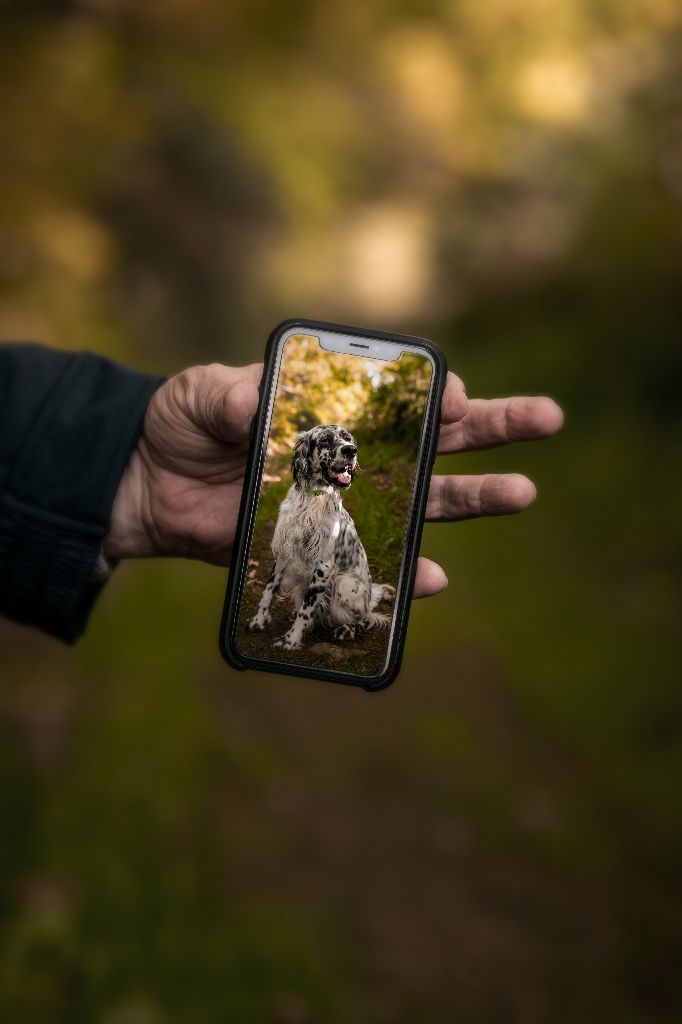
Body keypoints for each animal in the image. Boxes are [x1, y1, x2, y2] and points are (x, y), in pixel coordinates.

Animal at [245, 421, 393, 647]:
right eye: (325, 440)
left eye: (347, 438)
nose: (351, 450)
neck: (311, 500)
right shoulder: (283, 552)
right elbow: (268, 591)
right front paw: (258, 621)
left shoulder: (324, 565)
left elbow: (307, 608)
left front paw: (290, 640)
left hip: (344, 584)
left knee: (364, 618)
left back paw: (347, 629)